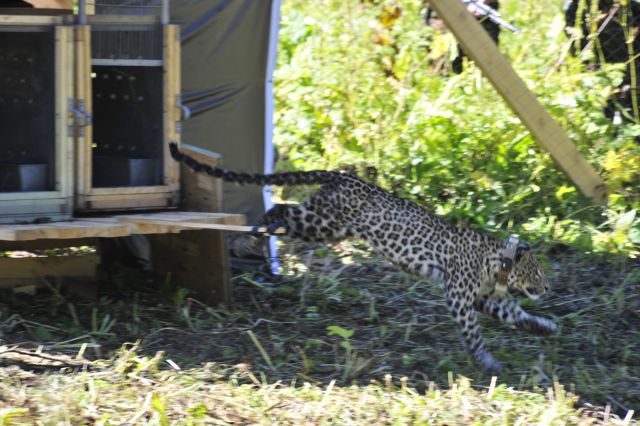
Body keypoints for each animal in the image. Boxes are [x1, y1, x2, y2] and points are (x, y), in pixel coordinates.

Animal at [169, 141, 556, 372]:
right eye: (536, 274)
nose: (547, 289)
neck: (498, 265)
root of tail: (341, 176)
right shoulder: (460, 298)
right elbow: (474, 333)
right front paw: (487, 361)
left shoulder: (484, 299)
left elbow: (516, 314)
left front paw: (545, 326)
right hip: (322, 223)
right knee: (278, 209)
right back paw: (245, 244)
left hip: (327, 227)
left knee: (283, 212)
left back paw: (251, 241)